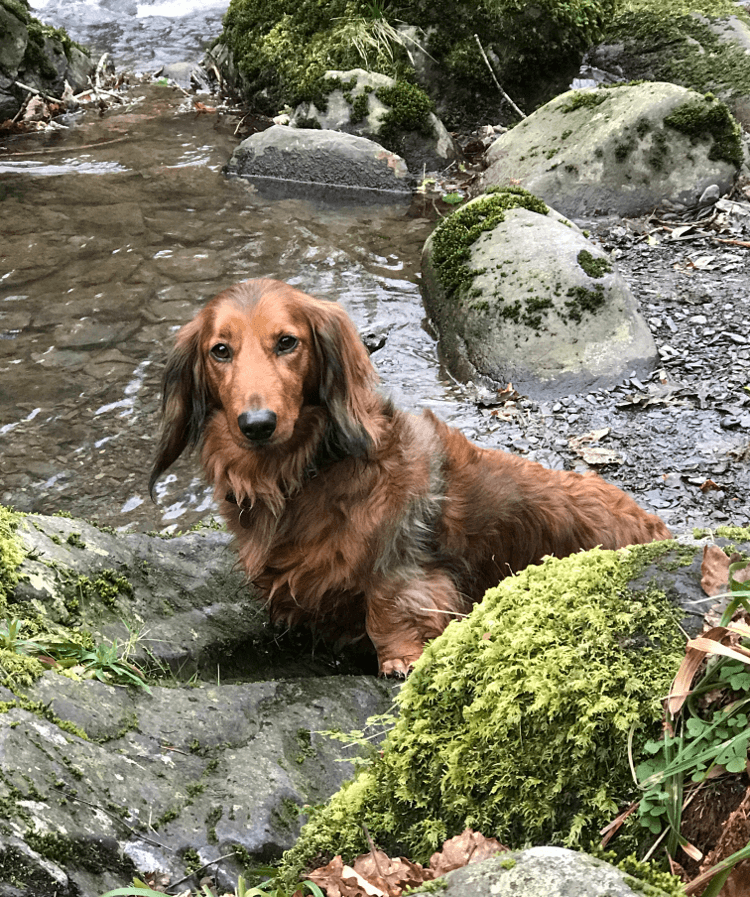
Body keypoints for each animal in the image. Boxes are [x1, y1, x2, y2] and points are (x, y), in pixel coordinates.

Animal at [150, 276, 672, 676]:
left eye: (286, 342)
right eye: (221, 351)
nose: (256, 424)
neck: (301, 475)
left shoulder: (402, 564)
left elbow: (390, 604)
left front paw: (398, 658)